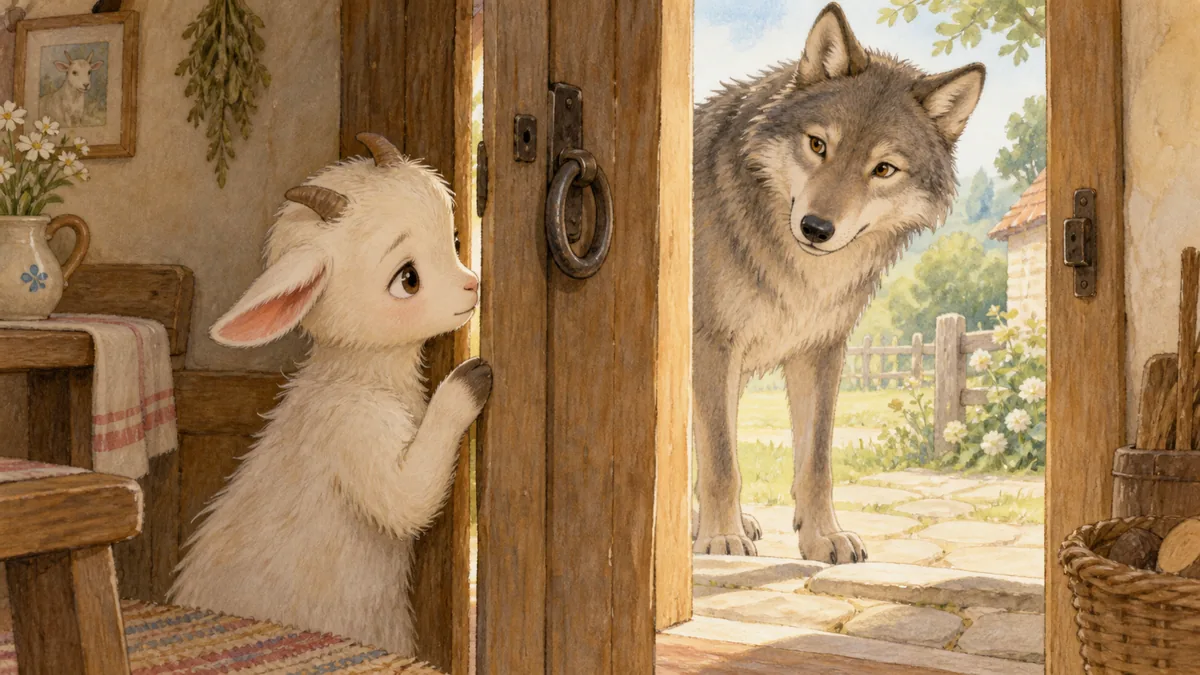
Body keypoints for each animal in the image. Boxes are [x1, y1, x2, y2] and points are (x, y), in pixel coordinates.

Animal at [691, 2, 985, 564]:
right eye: (818, 145)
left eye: (884, 169)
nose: (815, 228)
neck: (800, 275)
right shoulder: (711, 345)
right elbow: (721, 461)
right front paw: (720, 540)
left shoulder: (821, 350)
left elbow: (816, 463)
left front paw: (822, 537)